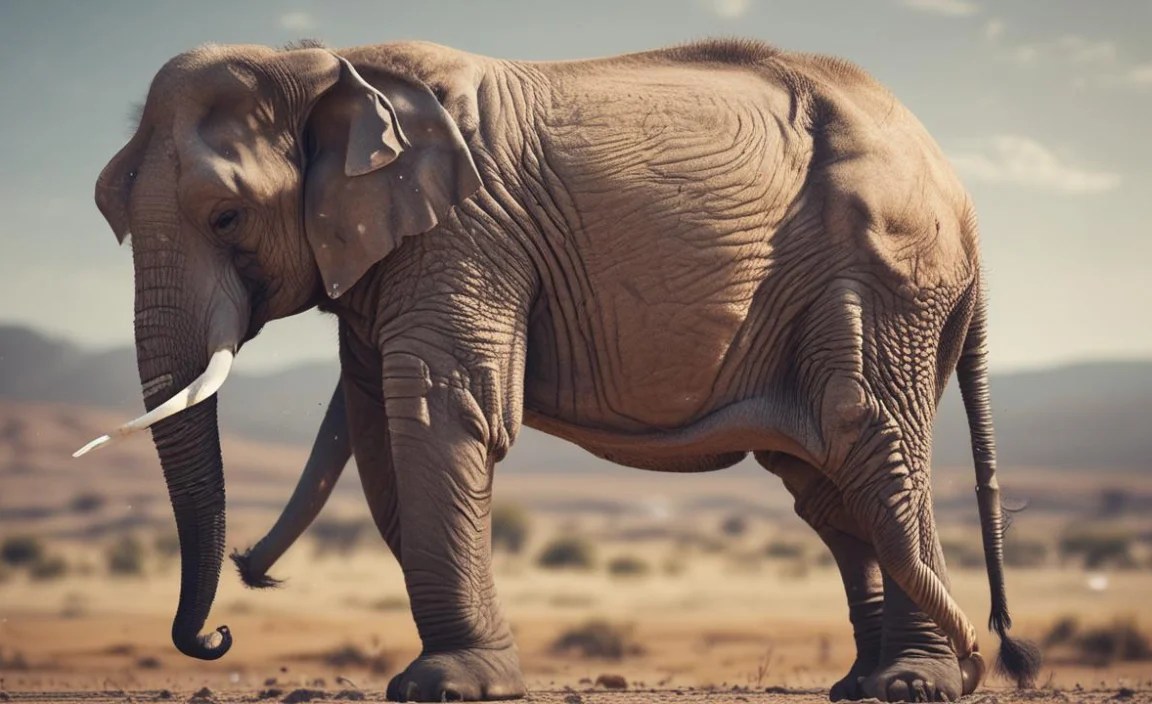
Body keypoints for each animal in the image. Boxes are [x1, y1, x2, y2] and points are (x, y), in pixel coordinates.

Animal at [77, 37, 1041, 702]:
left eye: (226, 216)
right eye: (108, 208)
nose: (224, 626)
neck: (327, 66)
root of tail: (966, 207)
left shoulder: (463, 231)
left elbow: (438, 407)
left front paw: (448, 689)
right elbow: (381, 429)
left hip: (889, 278)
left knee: (868, 438)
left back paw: (914, 686)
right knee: (829, 488)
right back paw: (866, 685)